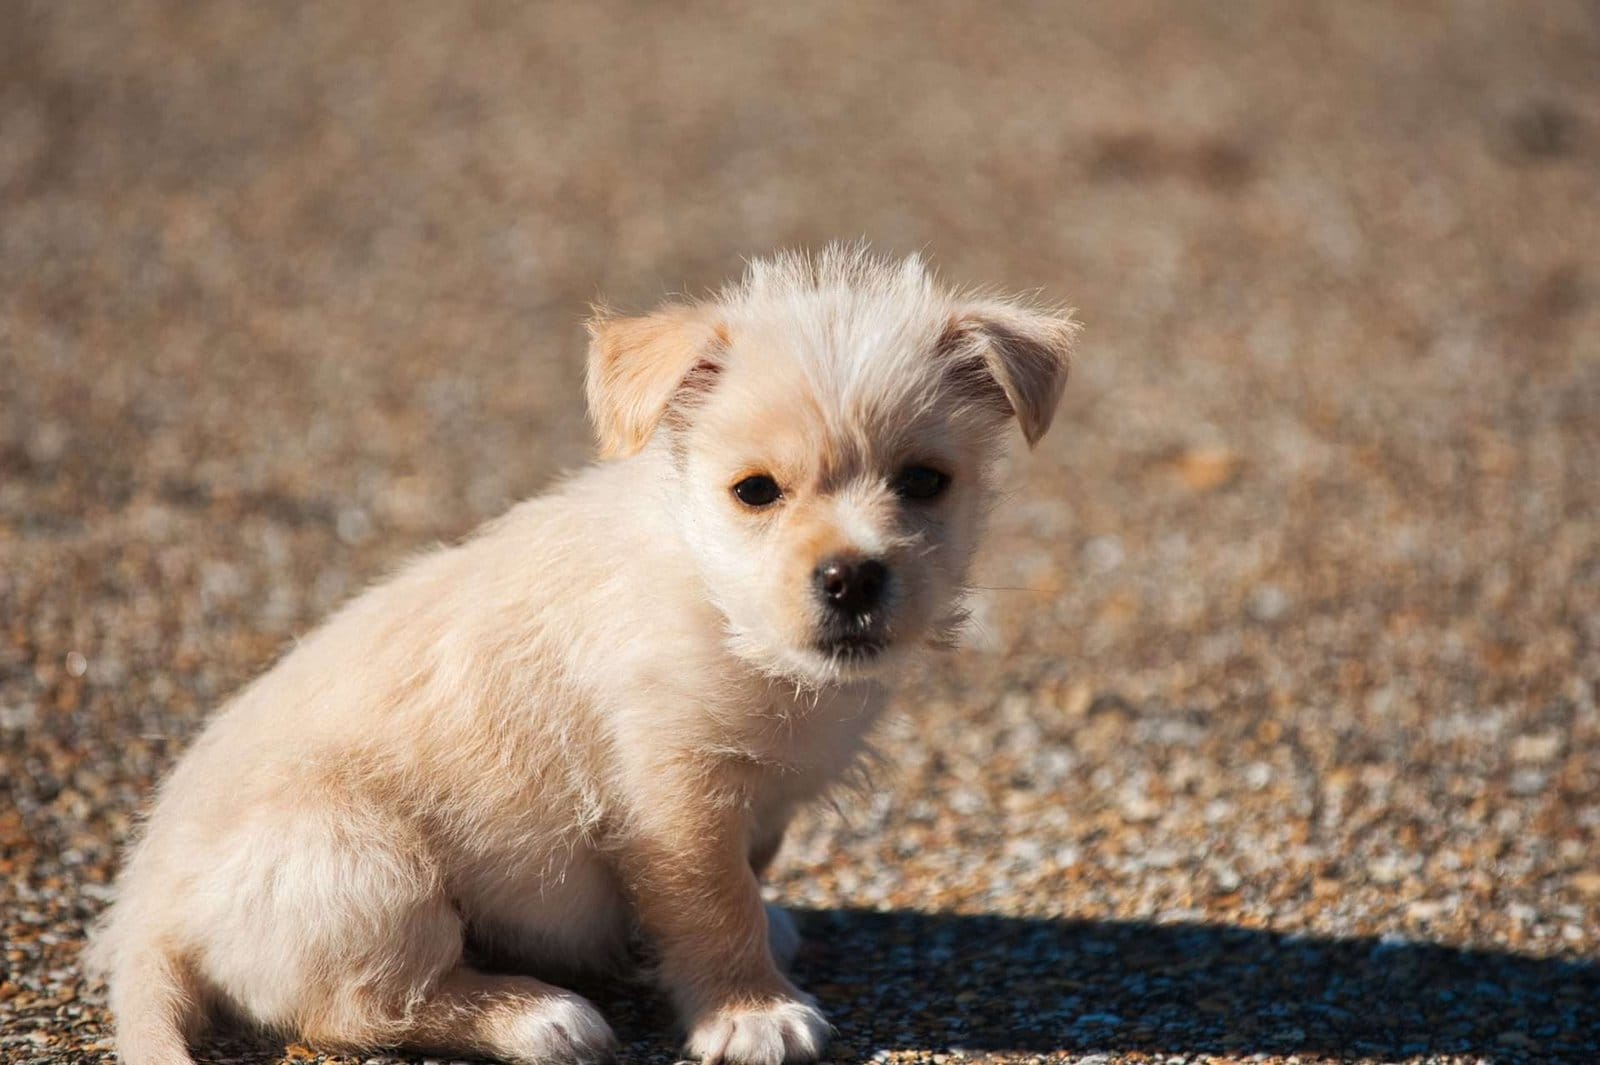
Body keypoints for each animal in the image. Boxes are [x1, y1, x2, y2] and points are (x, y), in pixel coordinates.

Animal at [93, 246, 1081, 1061]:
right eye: (756, 491)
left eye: (924, 481)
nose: (851, 576)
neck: (720, 606)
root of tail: (147, 908)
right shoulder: (674, 796)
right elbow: (715, 902)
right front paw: (751, 1010)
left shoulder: (748, 801)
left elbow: (749, 868)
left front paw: (760, 937)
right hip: (369, 867)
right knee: (360, 1006)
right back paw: (538, 1015)